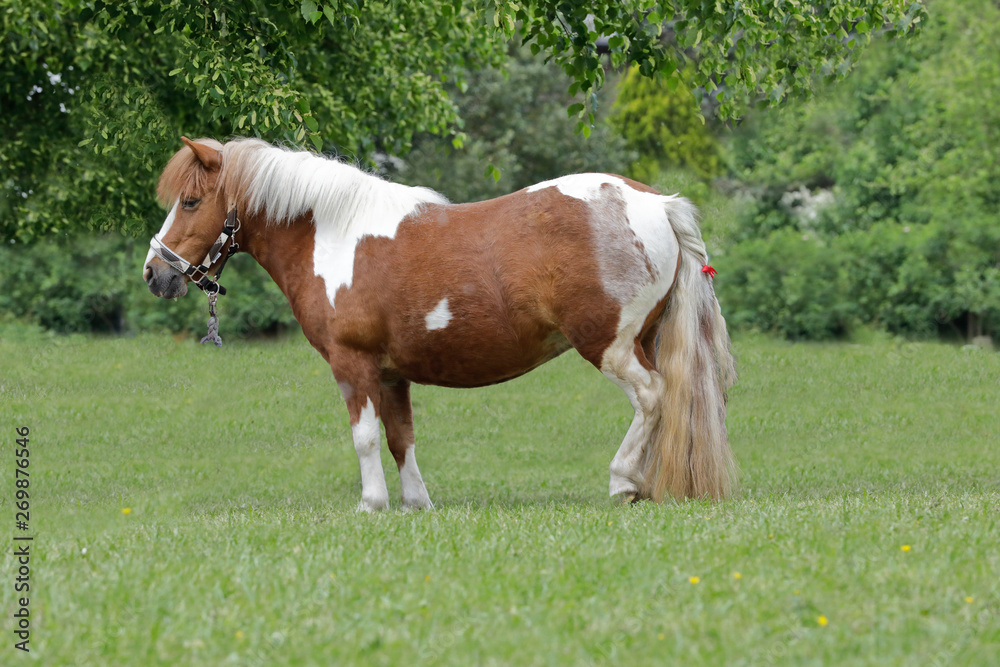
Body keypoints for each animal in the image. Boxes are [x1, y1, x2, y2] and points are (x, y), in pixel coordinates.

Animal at [143, 136, 737, 511]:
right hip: (643, 340)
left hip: (611, 345)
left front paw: (372, 504)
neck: (335, 235)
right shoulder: (391, 374)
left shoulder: (353, 364)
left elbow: (364, 437)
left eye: (191, 201)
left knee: (652, 397)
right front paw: (417, 503)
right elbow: (400, 437)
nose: (155, 273)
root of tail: (658, 204)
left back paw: (623, 483)